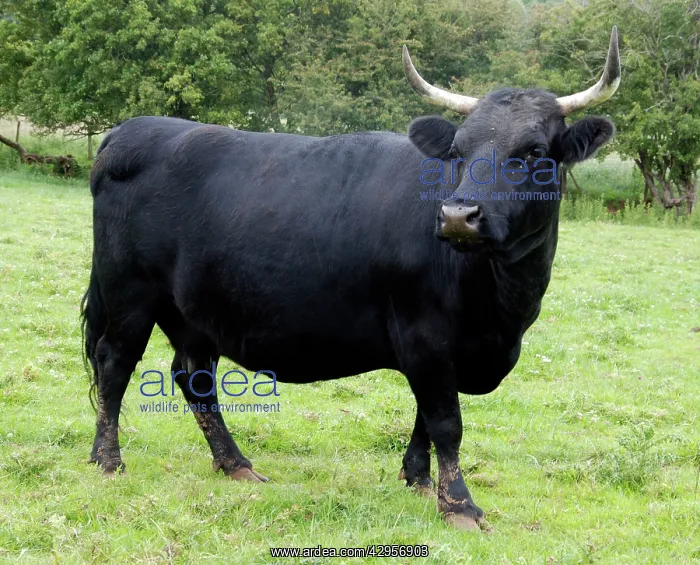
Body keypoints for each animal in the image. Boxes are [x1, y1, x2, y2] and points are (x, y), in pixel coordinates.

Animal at [81, 28, 621, 530]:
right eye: (458, 150)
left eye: (533, 151)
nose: (457, 216)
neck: (502, 311)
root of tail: (131, 130)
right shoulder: (424, 335)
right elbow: (446, 421)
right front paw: (459, 505)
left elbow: (425, 417)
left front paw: (418, 479)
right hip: (130, 293)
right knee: (115, 362)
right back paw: (108, 460)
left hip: (193, 310)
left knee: (194, 376)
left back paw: (235, 464)